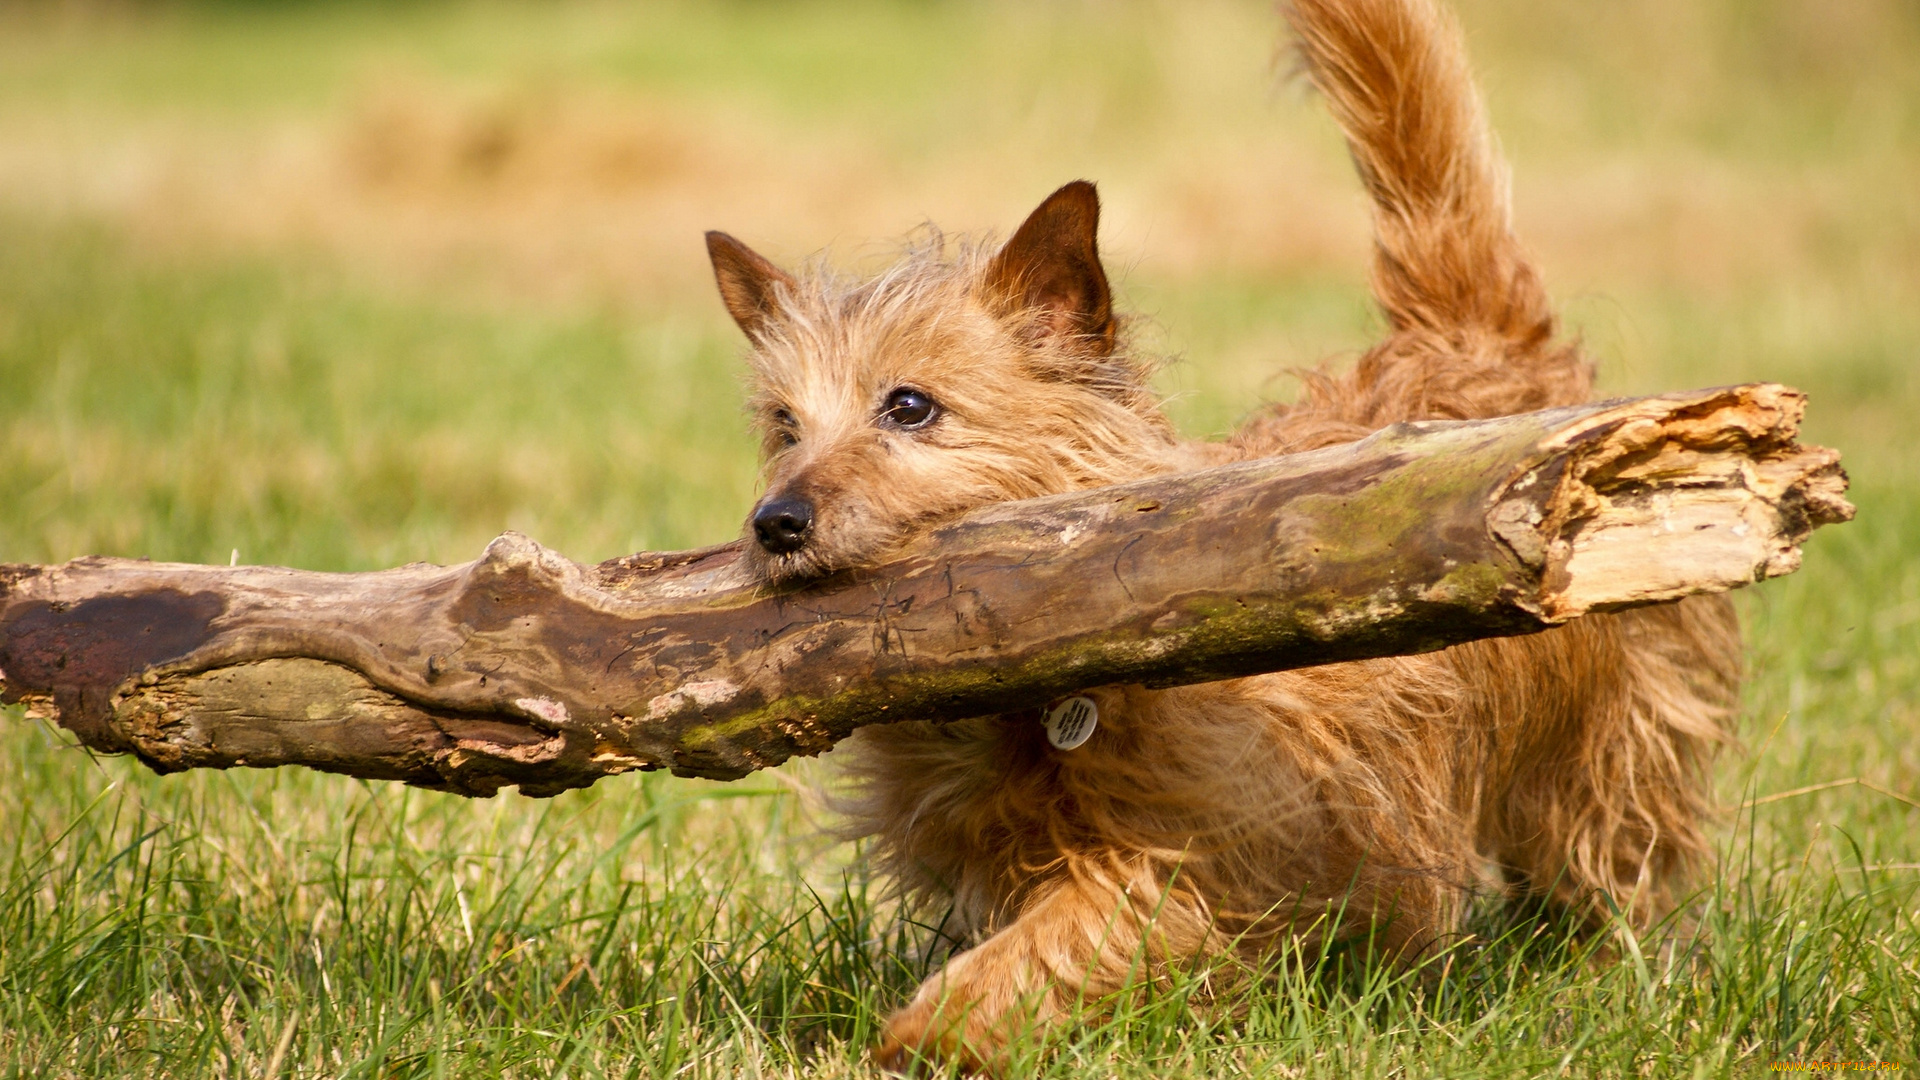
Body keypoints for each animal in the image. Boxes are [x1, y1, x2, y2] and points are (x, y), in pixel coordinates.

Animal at [702, 0, 1743, 1060]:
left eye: (909, 407)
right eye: (784, 426)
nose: (776, 523)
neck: (1014, 716)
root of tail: (1478, 342)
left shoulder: (1200, 861)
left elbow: (1057, 941)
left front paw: (927, 1034)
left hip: (1605, 751)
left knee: (1616, 858)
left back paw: (1613, 972)